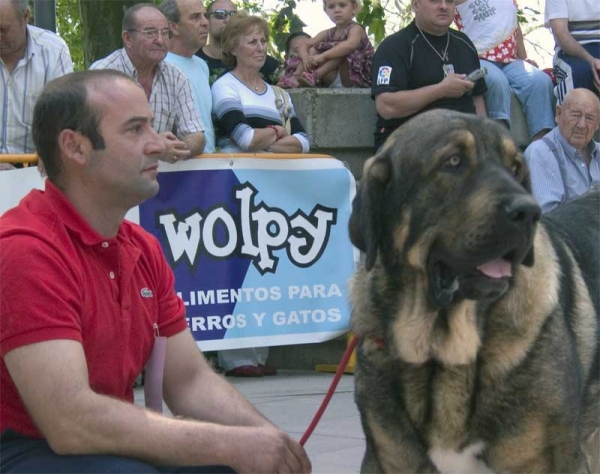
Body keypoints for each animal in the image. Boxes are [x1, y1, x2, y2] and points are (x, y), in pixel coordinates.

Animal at [350, 110, 596, 474]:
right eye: (453, 161)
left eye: (515, 167)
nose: (529, 212)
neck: (444, 352)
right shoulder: (389, 458)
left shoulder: (551, 459)